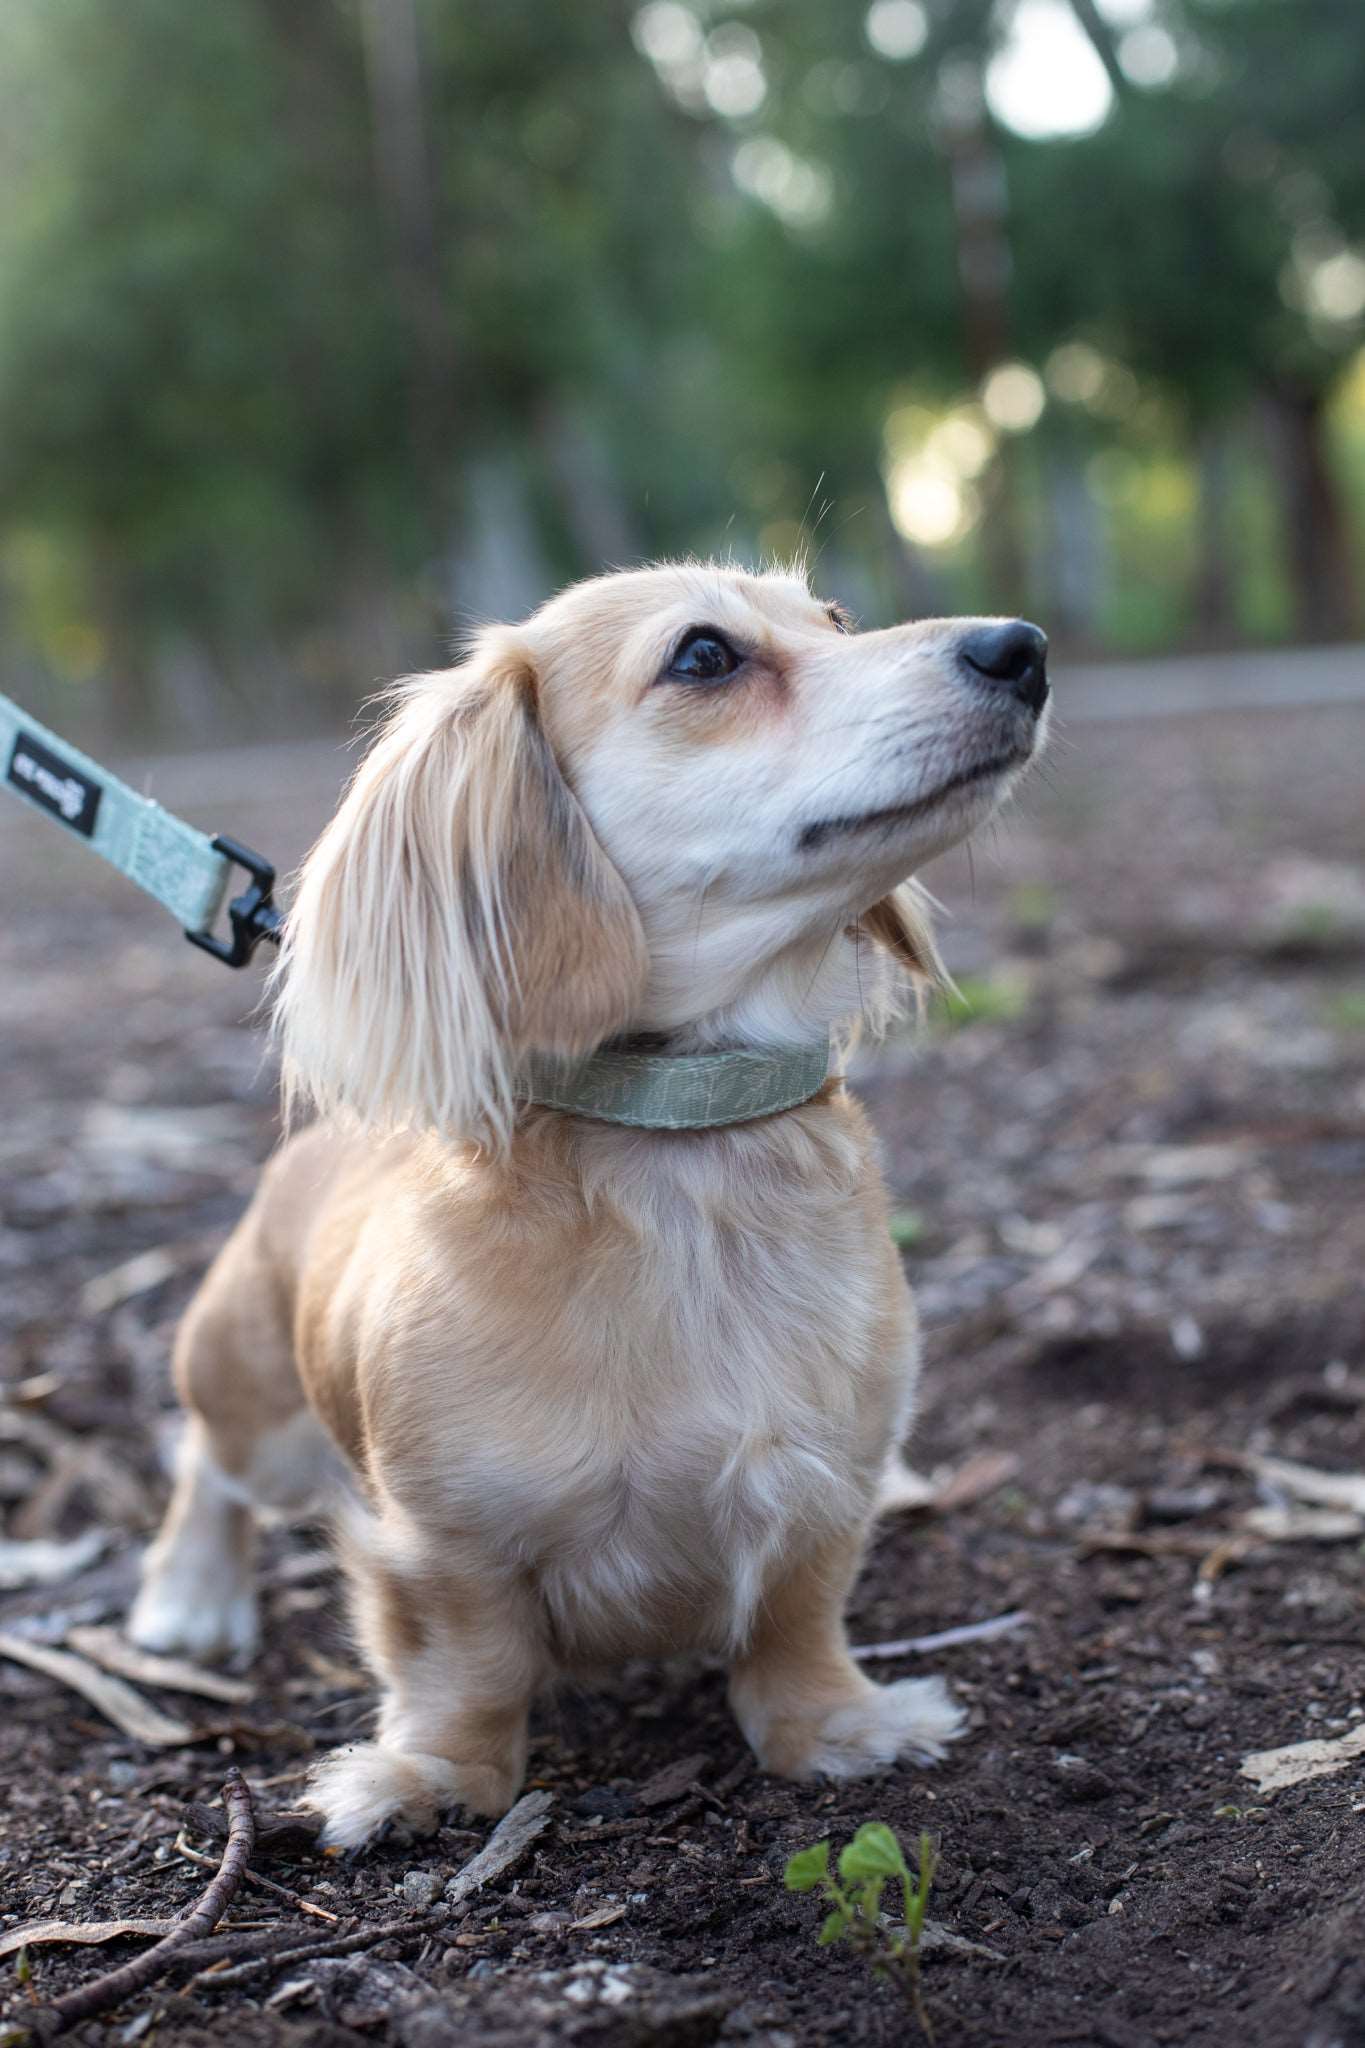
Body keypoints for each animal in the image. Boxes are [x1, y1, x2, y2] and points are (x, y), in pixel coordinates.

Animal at [130, 565, 1047, 1859]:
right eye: (705, 655)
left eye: (836, 621)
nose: (1023, 648)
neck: (681, 1154)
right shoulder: (441, 1542)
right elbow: (467, 1666)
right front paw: (429, 1778)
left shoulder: (829, 1484)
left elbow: (796, 1619)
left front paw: (837, 1724)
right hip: (255, 1398)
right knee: (206, 1461)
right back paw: (190, 1594)